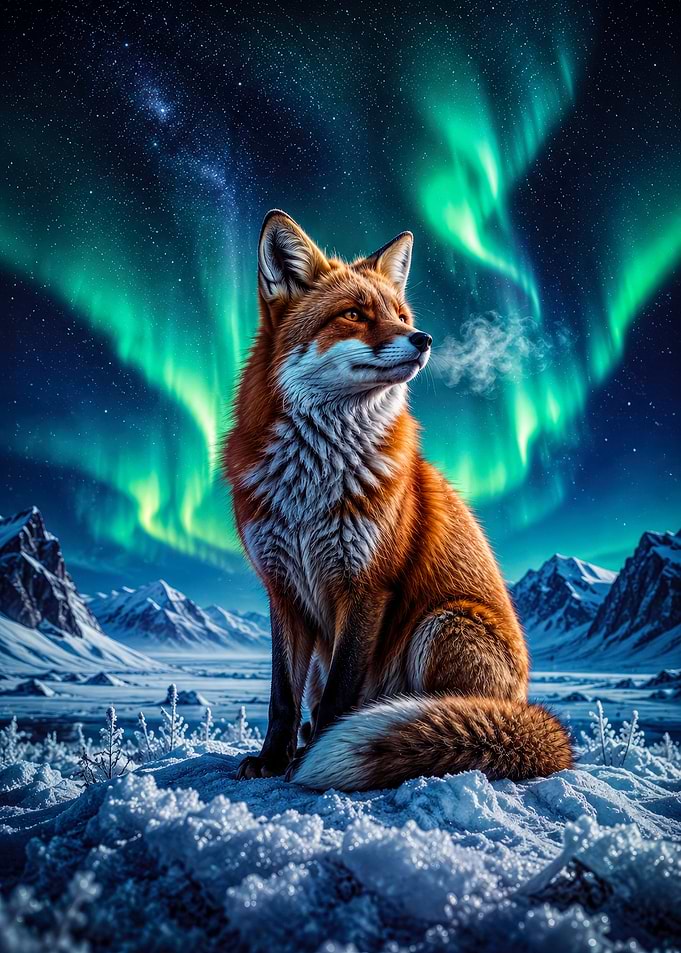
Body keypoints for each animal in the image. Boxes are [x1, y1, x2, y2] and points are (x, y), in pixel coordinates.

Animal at [224, 209, 573, 790]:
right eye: (354, 315)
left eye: (401, 315)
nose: (423, 337)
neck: (309, 485)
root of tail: (526, 706)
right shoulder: (282, 588)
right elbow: (281, 699)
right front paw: (271, 760)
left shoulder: (367, 585)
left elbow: (338, 699)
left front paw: (309, 757)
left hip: (440, 623)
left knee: (439, 711)